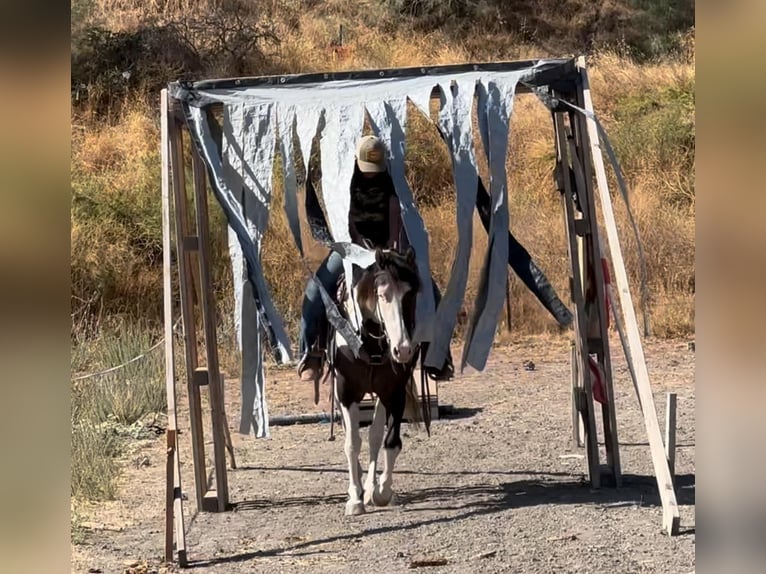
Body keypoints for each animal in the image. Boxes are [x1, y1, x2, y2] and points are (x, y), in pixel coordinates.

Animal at [330, 246, 423, 516]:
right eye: (382, 295)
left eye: (411, 294)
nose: (403, 350)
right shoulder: (346, 392)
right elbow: (352, 443)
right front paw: (355, 499)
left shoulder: (394, 391)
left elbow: (390, 441)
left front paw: (381, 492)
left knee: (373, 435)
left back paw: (370, 487)